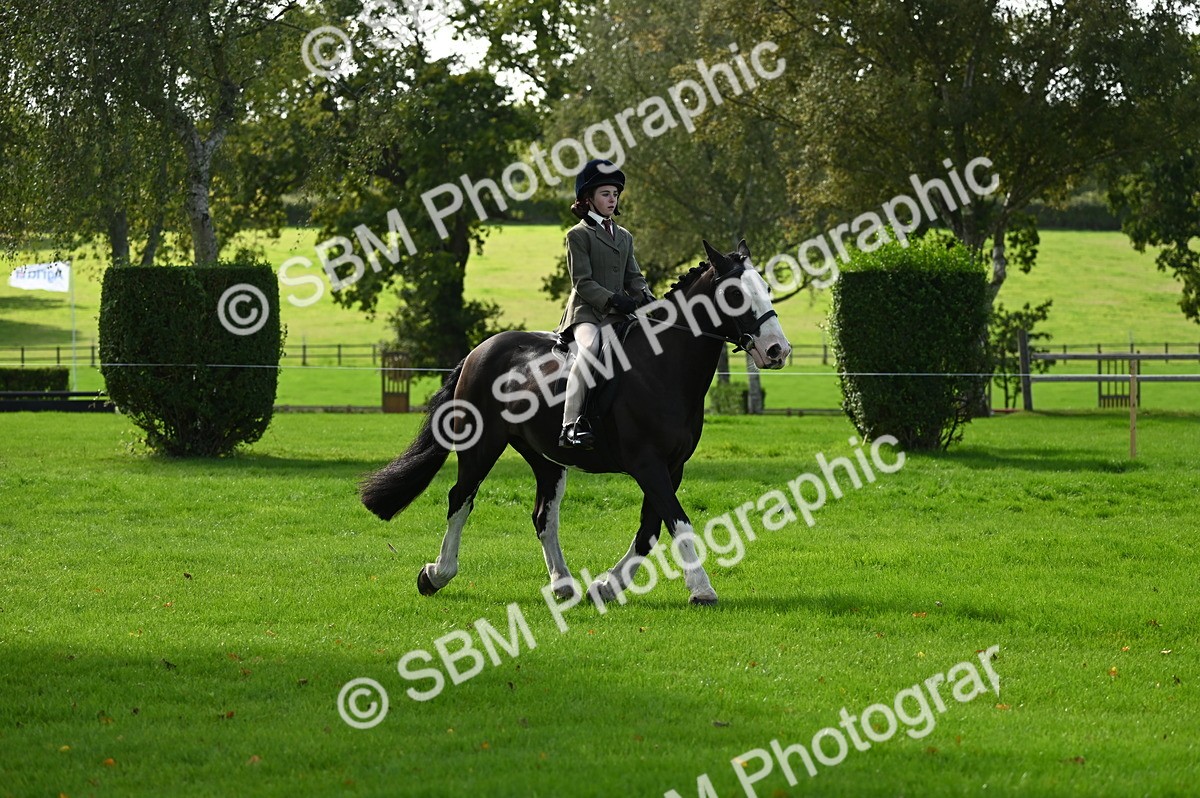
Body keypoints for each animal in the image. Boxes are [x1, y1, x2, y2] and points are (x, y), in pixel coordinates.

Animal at [360, 239, 792, 605]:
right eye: (734, 294)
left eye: (766, 288)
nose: (778, 350)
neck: (662, 365)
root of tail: (478, 352)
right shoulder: (648, 464)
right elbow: (677, 521)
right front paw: (702, 590)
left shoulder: (672, 466)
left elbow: (650, 529)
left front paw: (605, 587)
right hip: (481, 446)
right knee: (460, 499)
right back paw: (436, 575)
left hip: (547, 459)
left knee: (543, 516)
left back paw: (563, 585)